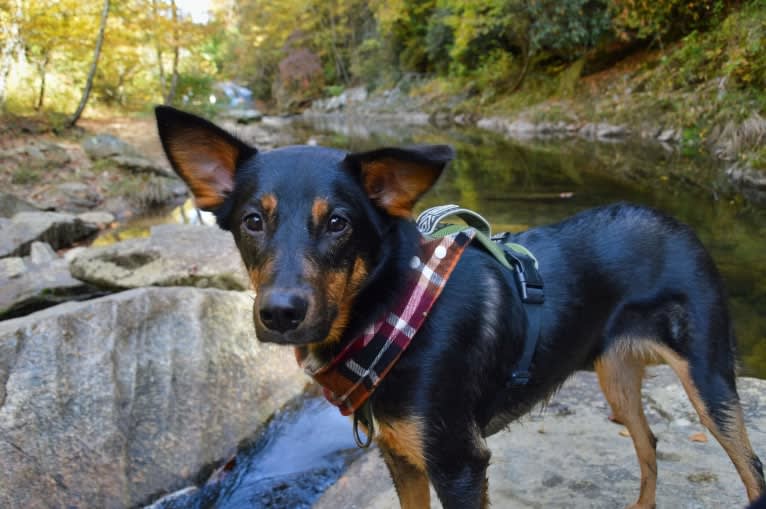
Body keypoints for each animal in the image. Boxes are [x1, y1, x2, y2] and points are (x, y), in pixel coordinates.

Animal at [153, 105, 764, 506]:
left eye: (339, 223)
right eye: (253, 221)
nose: (280, 314)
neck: (390, 311)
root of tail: (674, 222)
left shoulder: (459, 463)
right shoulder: (402, 457)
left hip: (708, 376)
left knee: (751, 467)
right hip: (616, 375)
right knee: (648, 443)